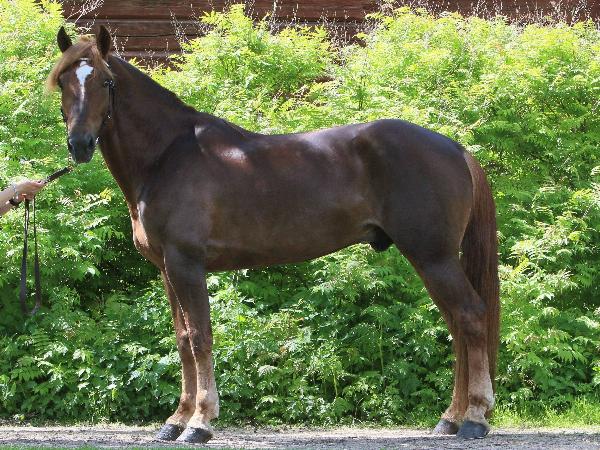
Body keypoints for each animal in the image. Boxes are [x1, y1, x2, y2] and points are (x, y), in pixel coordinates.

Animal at [47, 26, 500, 443]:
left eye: (105, 82)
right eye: (64, 82)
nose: (79, 144)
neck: (167, 157)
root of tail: (455, 148)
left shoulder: (186, 264)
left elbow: (200, 339)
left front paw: (200, 422)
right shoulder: (167, 269)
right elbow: (182, 340)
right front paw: (175, 421)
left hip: (434, 257)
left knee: (470, 317)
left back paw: (475, 419)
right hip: (432, 260)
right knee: (457, 327)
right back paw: (450, 418)